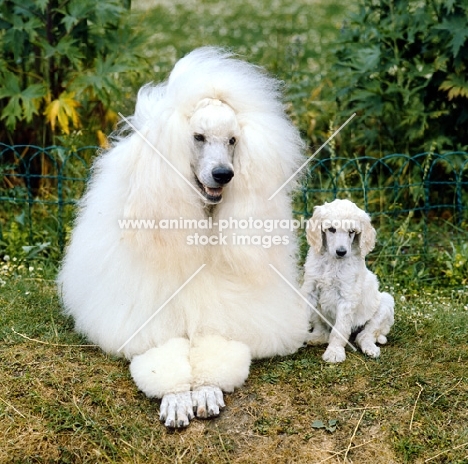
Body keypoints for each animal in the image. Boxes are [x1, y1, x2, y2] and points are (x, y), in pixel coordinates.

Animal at [56, 47, 308, 428]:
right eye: (198, 137)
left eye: (232, 140)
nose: (224, 174)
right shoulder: (144, 317)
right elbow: (161, 355)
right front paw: (176, 398)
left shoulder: (230, 316)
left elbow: (219, 346)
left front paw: (205, 391)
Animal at [300, 198, 394, 362]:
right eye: (331, 229)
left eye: (351, 232)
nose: (341, 252)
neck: (333, 261)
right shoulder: (309, 289)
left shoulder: (347, 296)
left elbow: (340, 329)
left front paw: (334, 352)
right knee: (323, 333)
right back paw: (311, 338)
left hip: (385, 304)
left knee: (365, 335)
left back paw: (370, 348)